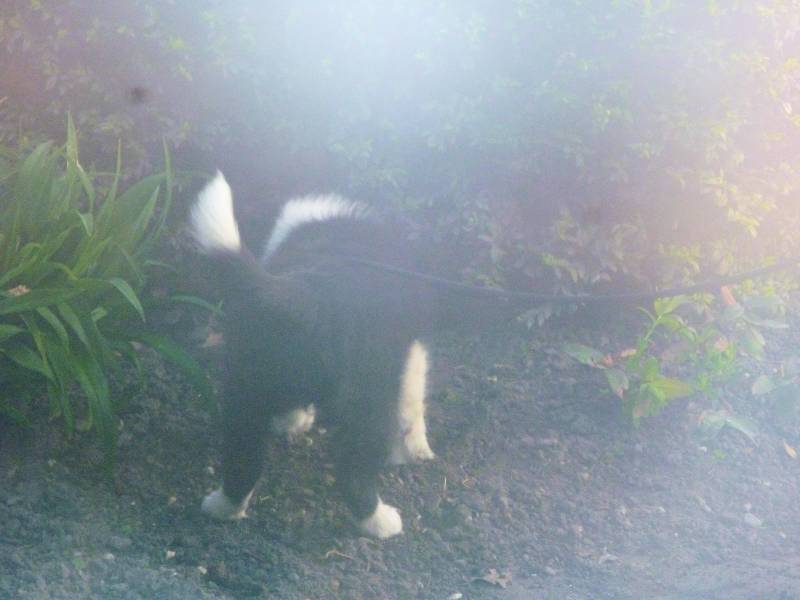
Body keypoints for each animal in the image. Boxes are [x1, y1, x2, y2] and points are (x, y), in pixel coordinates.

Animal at [190, 172, 437, 538]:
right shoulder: (405, 354)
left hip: (247, 385)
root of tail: (312, 296)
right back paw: (382, 522)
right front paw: (418, 449)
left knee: (243, 457)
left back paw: (222, 507)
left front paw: (294, 421)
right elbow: (413, 397)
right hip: (367, 401)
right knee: (355, 470)